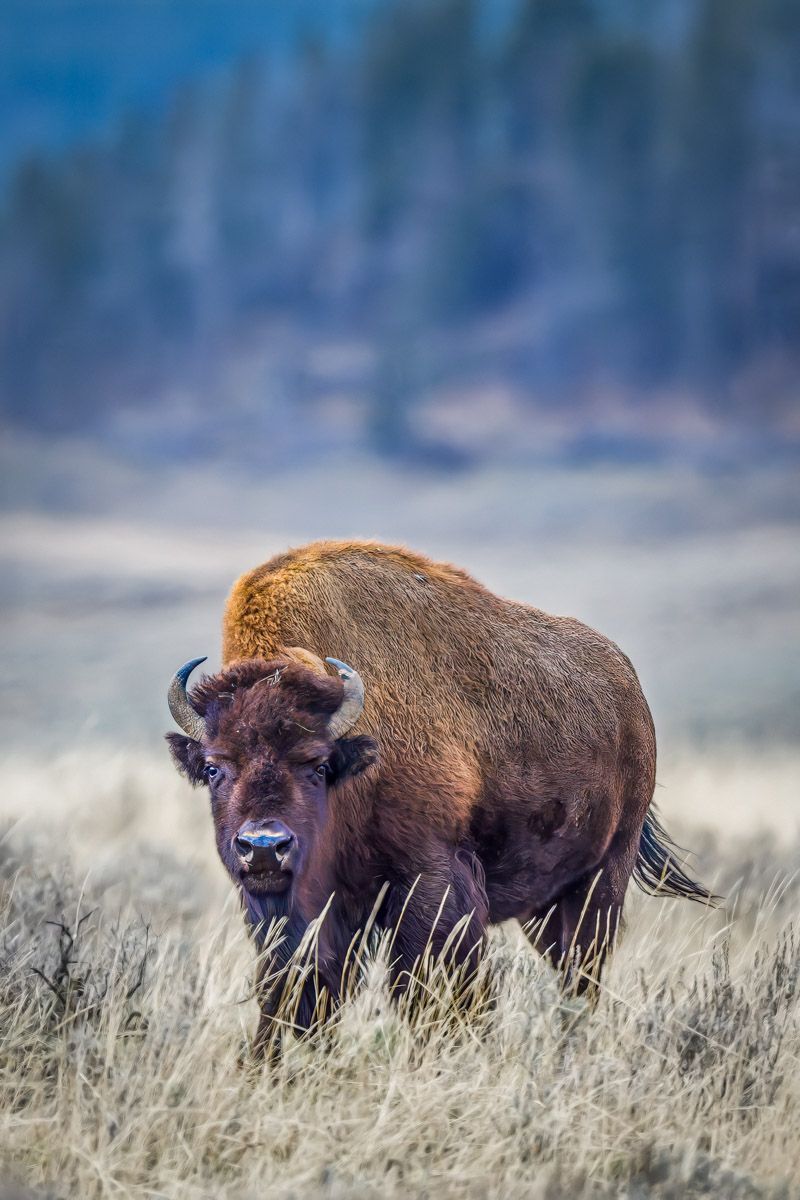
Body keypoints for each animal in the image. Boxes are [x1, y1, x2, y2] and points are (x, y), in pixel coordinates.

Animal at [166, 540, 713, 1047]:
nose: (263, 847)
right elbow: (298, 985)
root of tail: (628, 690)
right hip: (546, 903)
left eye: (318, 765)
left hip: (604, 875)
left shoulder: (429, 877)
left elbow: (433, 983)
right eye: (213, 768)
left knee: (583, 971)